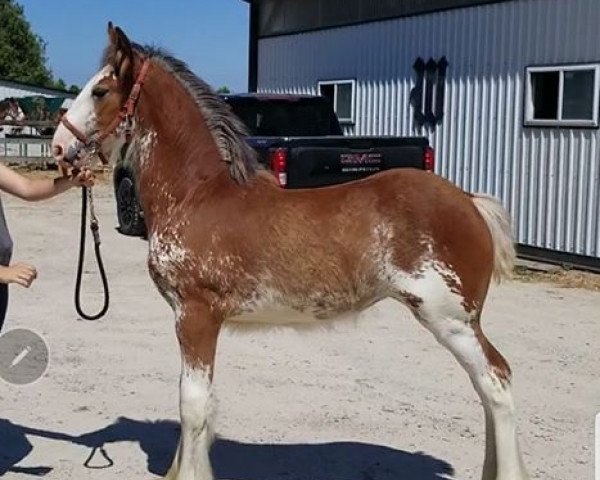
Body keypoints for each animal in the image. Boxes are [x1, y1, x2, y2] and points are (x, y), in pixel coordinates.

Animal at [51, 23, 528, 480]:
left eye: (100, 91)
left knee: (496, 381)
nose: (57, 146)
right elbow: (199, 405)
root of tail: (469, 201)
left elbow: (192, 403)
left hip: (451, 319)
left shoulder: (196, 316)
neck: (198, 195)